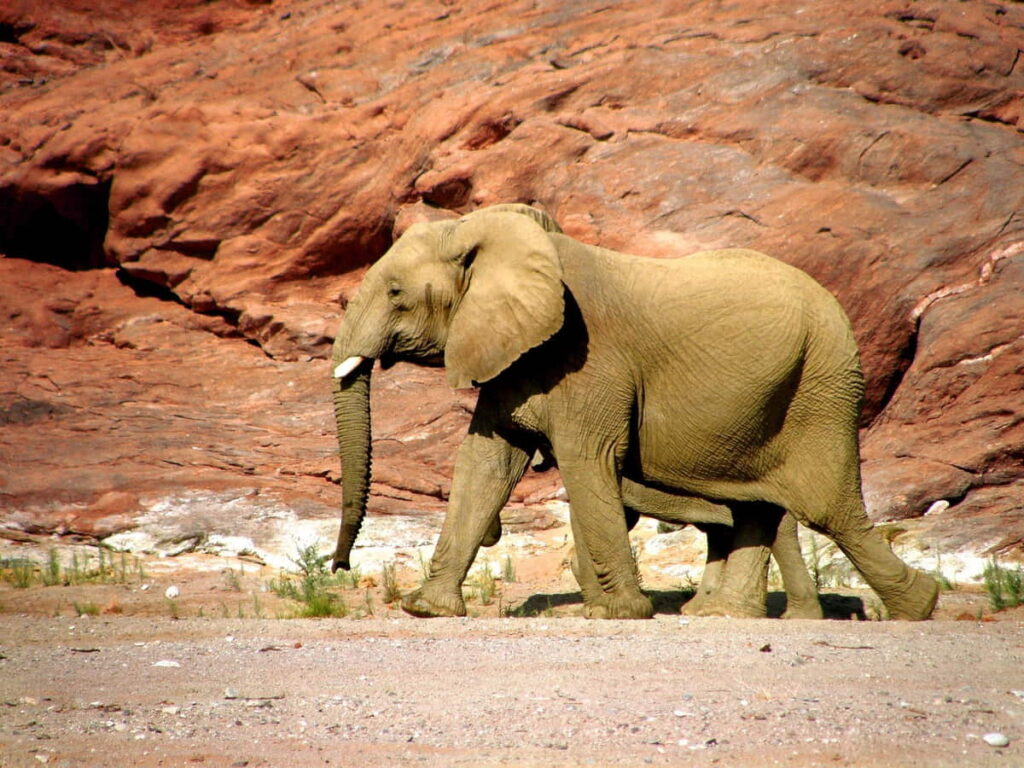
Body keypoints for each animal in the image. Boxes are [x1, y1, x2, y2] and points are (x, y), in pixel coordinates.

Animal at [329, 202, 939, 620]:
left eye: (396, 292)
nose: (339, 568)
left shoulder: (588, 356)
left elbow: (587, 461)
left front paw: (620, 613)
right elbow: (485, 464)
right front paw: (427, 609)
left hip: (822, 384)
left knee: (825, 508)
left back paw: (919, 607)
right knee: (760, 508)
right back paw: (722, 616)